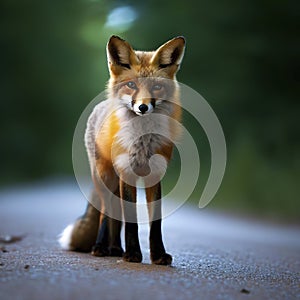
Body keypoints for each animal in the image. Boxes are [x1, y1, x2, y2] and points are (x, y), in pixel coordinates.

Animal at [58, 34, 185, 264]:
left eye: (156, 87)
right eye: (131, 85)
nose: (143, 107)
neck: (142, 142)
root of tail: (101, 106)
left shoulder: (156, 174)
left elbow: (155, 222)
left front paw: (158, 255)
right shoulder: (127, 172)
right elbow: (131, 219)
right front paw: (133, 253)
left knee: (115, 217)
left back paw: (115, 248)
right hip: (105, 177)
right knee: (105, 213)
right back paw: (101, 247)